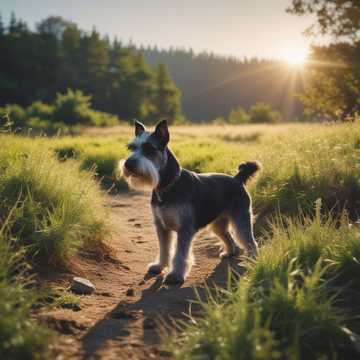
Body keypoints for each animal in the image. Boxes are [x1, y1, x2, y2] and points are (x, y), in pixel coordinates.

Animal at [121, 120, 262, 284]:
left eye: (149, 148)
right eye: (131, 147)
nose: (128, 164)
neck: (168, 185)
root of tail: (237, 179)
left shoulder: (184, 228)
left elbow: (180, 254)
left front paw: (175, 275)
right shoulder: (161, 226)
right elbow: (164, 249)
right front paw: (159, 266)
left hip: (241, 219)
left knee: (250, 241)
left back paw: (253, 260)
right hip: (218, 224)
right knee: (229, 237)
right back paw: (230, 252)